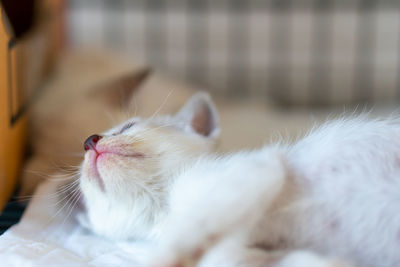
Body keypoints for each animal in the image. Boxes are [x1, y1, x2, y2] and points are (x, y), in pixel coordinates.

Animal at [79, 92, 400, 267]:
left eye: (128, 127)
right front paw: (325, 261)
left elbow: (192, 229)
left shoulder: (253, 169)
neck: (164, 210)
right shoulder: (233, 244)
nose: (89, 140)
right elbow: (227, 258)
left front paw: (161, 258)